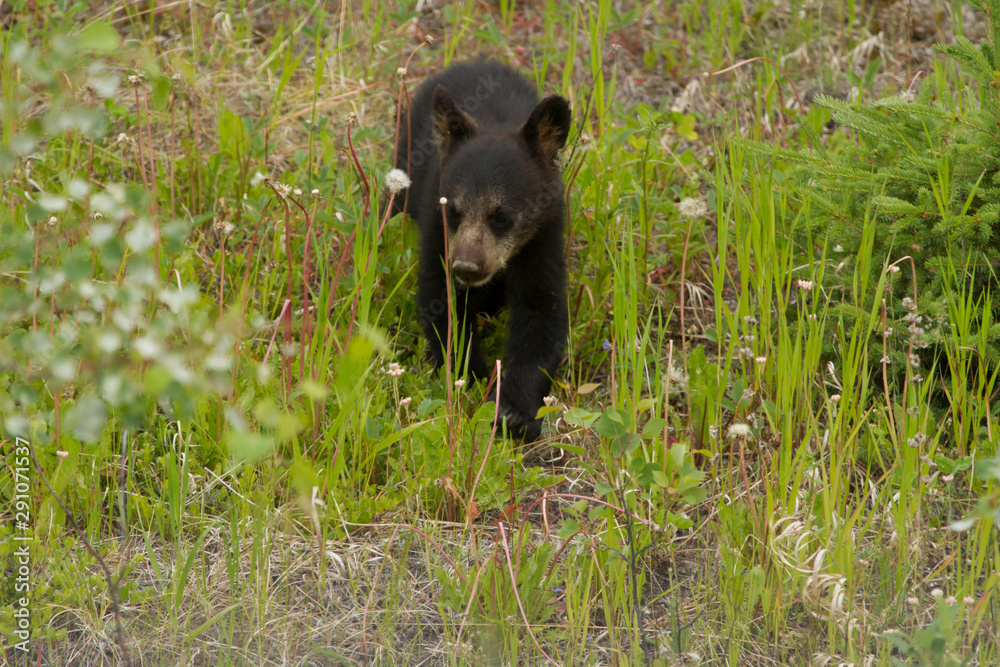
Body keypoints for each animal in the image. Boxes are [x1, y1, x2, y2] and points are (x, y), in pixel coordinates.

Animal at [388, 60, 572, 442]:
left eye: (501, 216)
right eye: (453, 211)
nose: (466, 268)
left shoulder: (543, 236)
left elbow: (542, 312)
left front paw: (513, 411)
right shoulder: (436, 228)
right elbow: (441, 303)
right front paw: (475, 381)